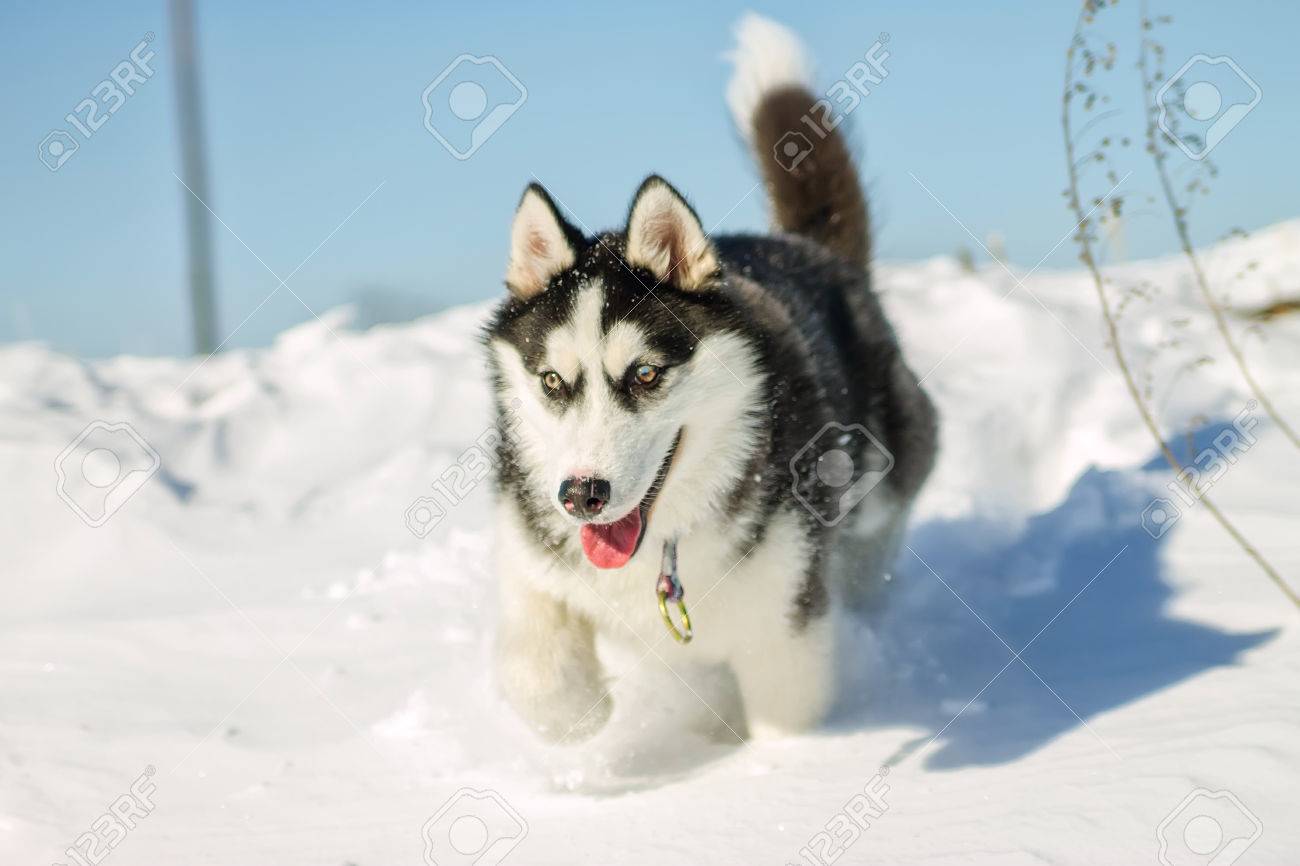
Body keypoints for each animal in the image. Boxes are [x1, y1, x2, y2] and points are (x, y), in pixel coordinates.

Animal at [483, 13, 930, 738]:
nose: (581, 496)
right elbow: (536, 668)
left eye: (644, 374)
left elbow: (788, 718)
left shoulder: (786, 622)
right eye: (552, 382)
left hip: (887, 461)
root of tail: (807, 250)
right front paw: (578, 712)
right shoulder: (529, 542)